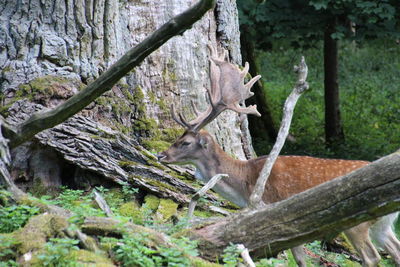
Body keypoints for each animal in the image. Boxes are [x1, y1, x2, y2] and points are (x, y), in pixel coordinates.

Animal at [157, 46, 400, 267]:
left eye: (185, 142)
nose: (161, 155)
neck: (245, 182)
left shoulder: (273, 210)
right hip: (383, 224)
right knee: (395, 250)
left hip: (356, 221)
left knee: (372, 256)